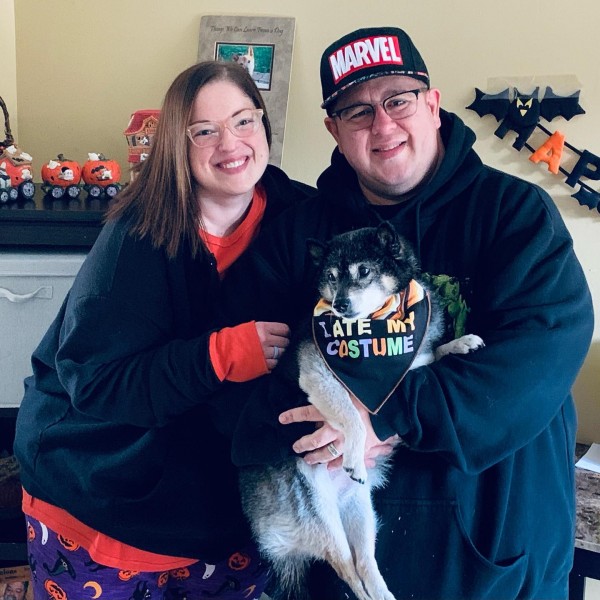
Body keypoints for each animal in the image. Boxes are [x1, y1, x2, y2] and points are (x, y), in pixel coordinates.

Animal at [240, 222, 484, 600]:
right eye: (330, 275)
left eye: (364, 271)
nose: (341, 304)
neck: (375, 331)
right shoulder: (317, 375)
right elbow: (353, 418)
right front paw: (354, 454)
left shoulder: (407, 366)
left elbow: (430, 355)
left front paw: (459, 343)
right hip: (321, 517)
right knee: (346, 567)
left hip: (363, 516)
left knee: (366, 564)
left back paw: (384, 594)